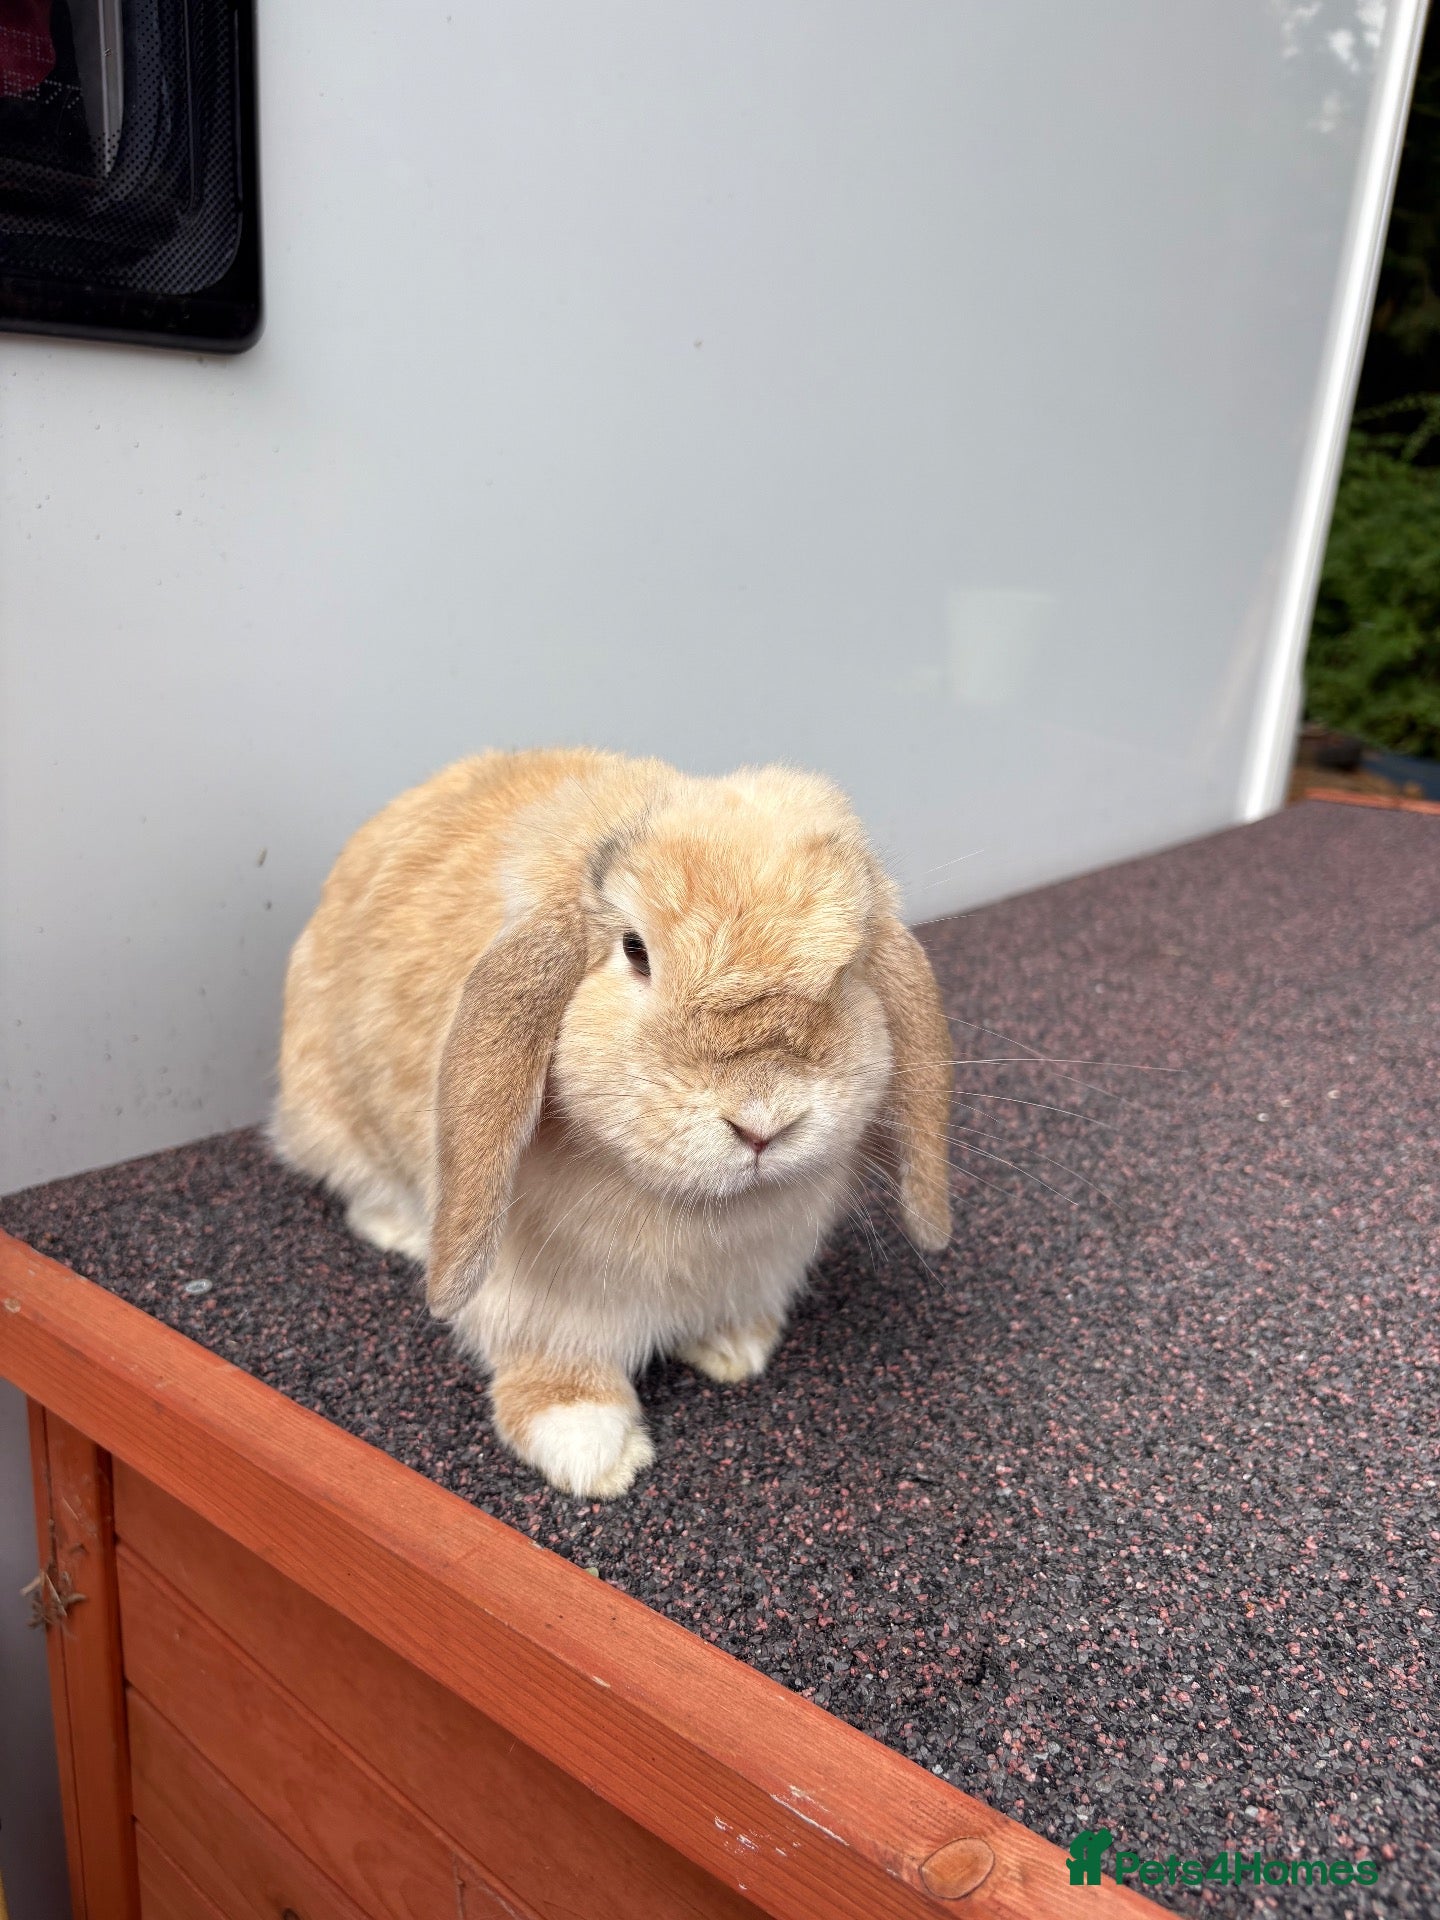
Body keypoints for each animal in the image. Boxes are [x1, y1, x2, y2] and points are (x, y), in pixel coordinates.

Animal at [271, 747, 953, 1498]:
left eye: (848, 969)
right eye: (635, 951)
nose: (763, 1123)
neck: (697, 1211)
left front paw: (737, 1349)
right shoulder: (538, 1302)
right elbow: (556, 1368)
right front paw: (593, 1451)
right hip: (330, 1118)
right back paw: (404, 1233)